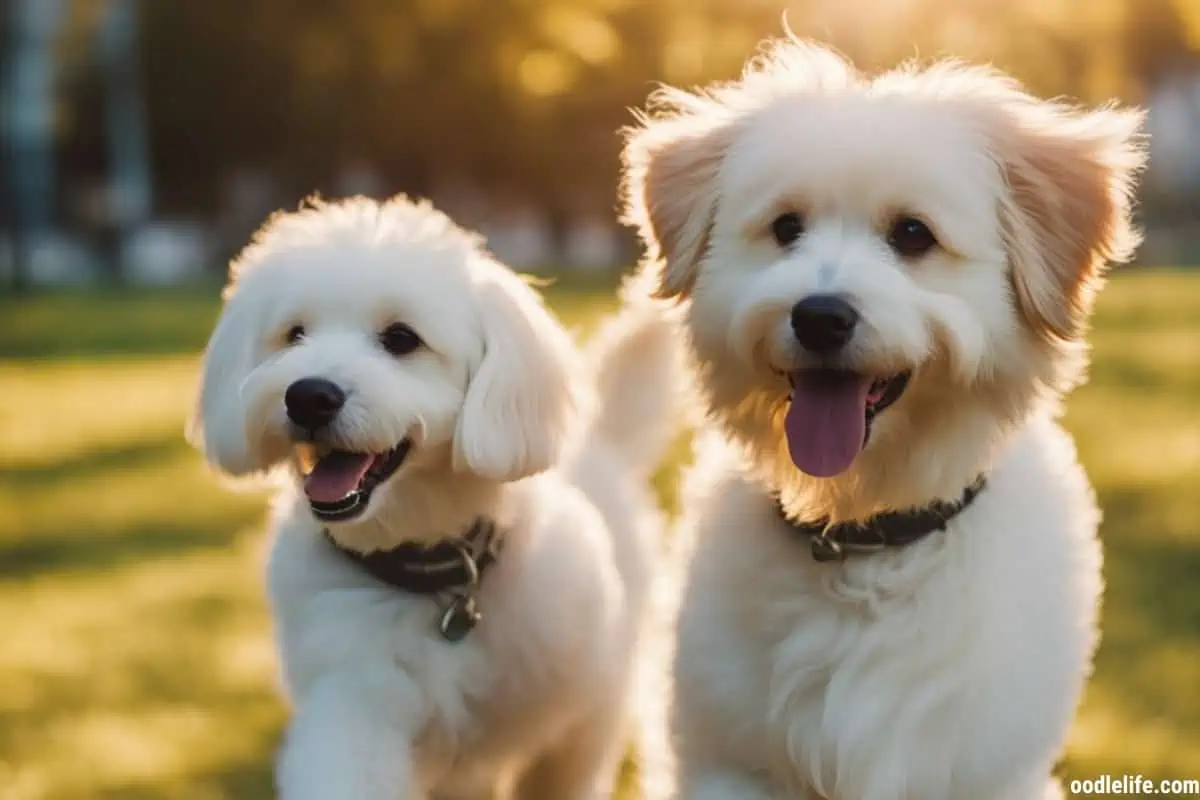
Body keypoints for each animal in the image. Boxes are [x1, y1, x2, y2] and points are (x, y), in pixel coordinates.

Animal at [187, 195, 676, 800]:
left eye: (401, 339)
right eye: (294, 334)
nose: (307, 396)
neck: (428, 569)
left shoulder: (579, 717)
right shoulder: (355, 700)